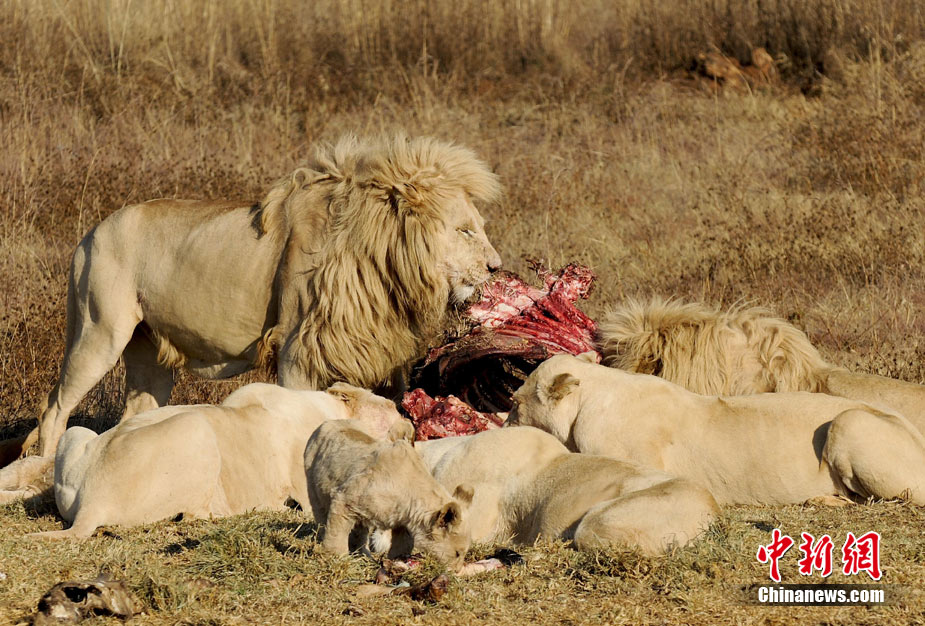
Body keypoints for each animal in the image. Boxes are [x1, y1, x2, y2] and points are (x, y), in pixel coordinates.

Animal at [11, 135, 500, 479]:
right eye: (464, 230)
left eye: (479, 226)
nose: (496, 267)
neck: (383, 261)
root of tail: (90, 233)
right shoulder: (298, 350)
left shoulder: (377, 353)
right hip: (98, 331)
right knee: (54, 407)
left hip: (149, 355)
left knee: (134, 414)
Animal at [29, 383, 408, 539]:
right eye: (391, 406)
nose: (408, 422)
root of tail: (93, 502)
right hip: (195, 429)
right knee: (196, 514)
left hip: (75, 435)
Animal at [304, 418, 473, 571]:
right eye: (458, 553)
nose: (456, 571)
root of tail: (327, 422)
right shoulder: (353, 493)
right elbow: (339, 521)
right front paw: (336, 557)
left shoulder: (403, 515)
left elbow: (402, 540)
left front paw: (397, 560)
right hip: (311, 467)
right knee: (319, 508)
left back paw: (364, 554)